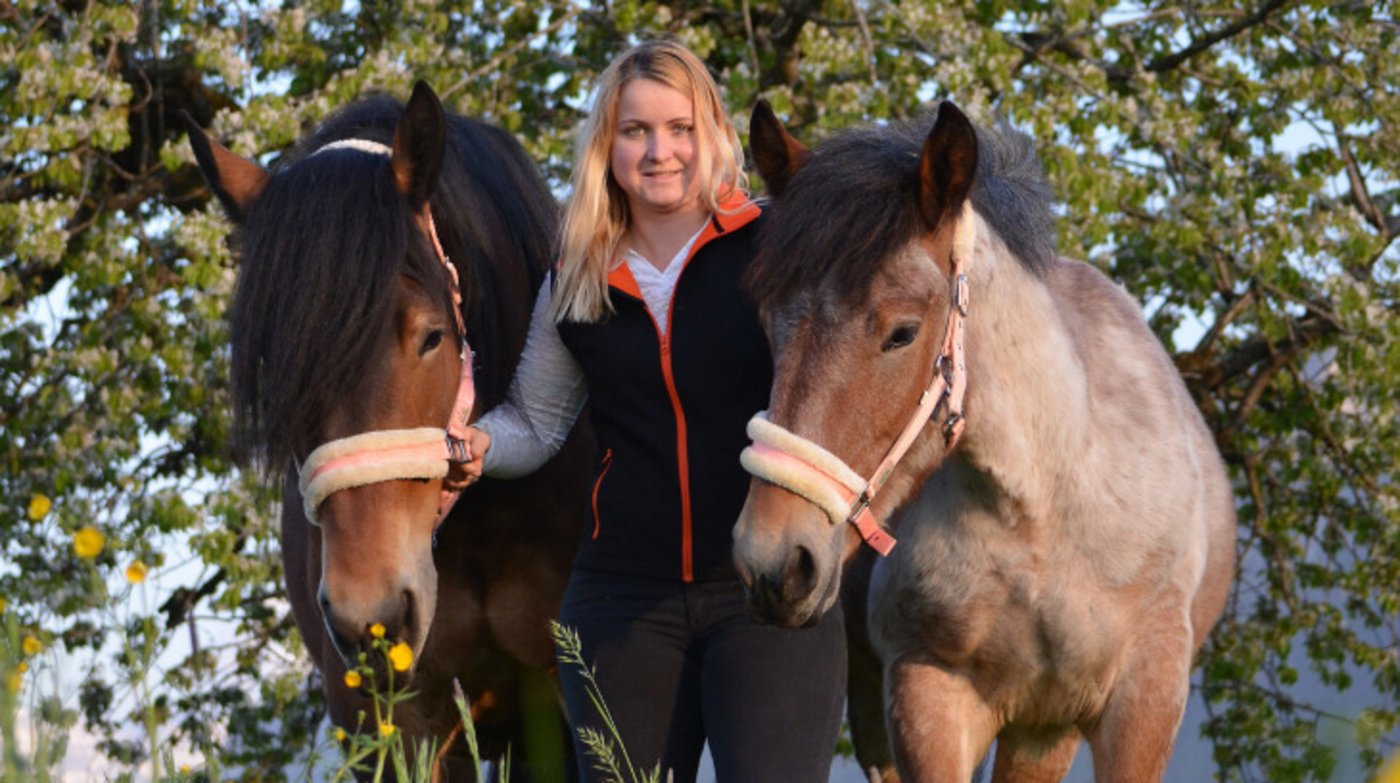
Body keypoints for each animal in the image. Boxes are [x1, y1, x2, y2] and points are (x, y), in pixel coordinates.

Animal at [732, 100, 1236, 782]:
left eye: (902, 332)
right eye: (769, 324)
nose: (772, 561)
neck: (1046, 506)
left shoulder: (1143, 703)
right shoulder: (927, 695)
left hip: (1043, 730)